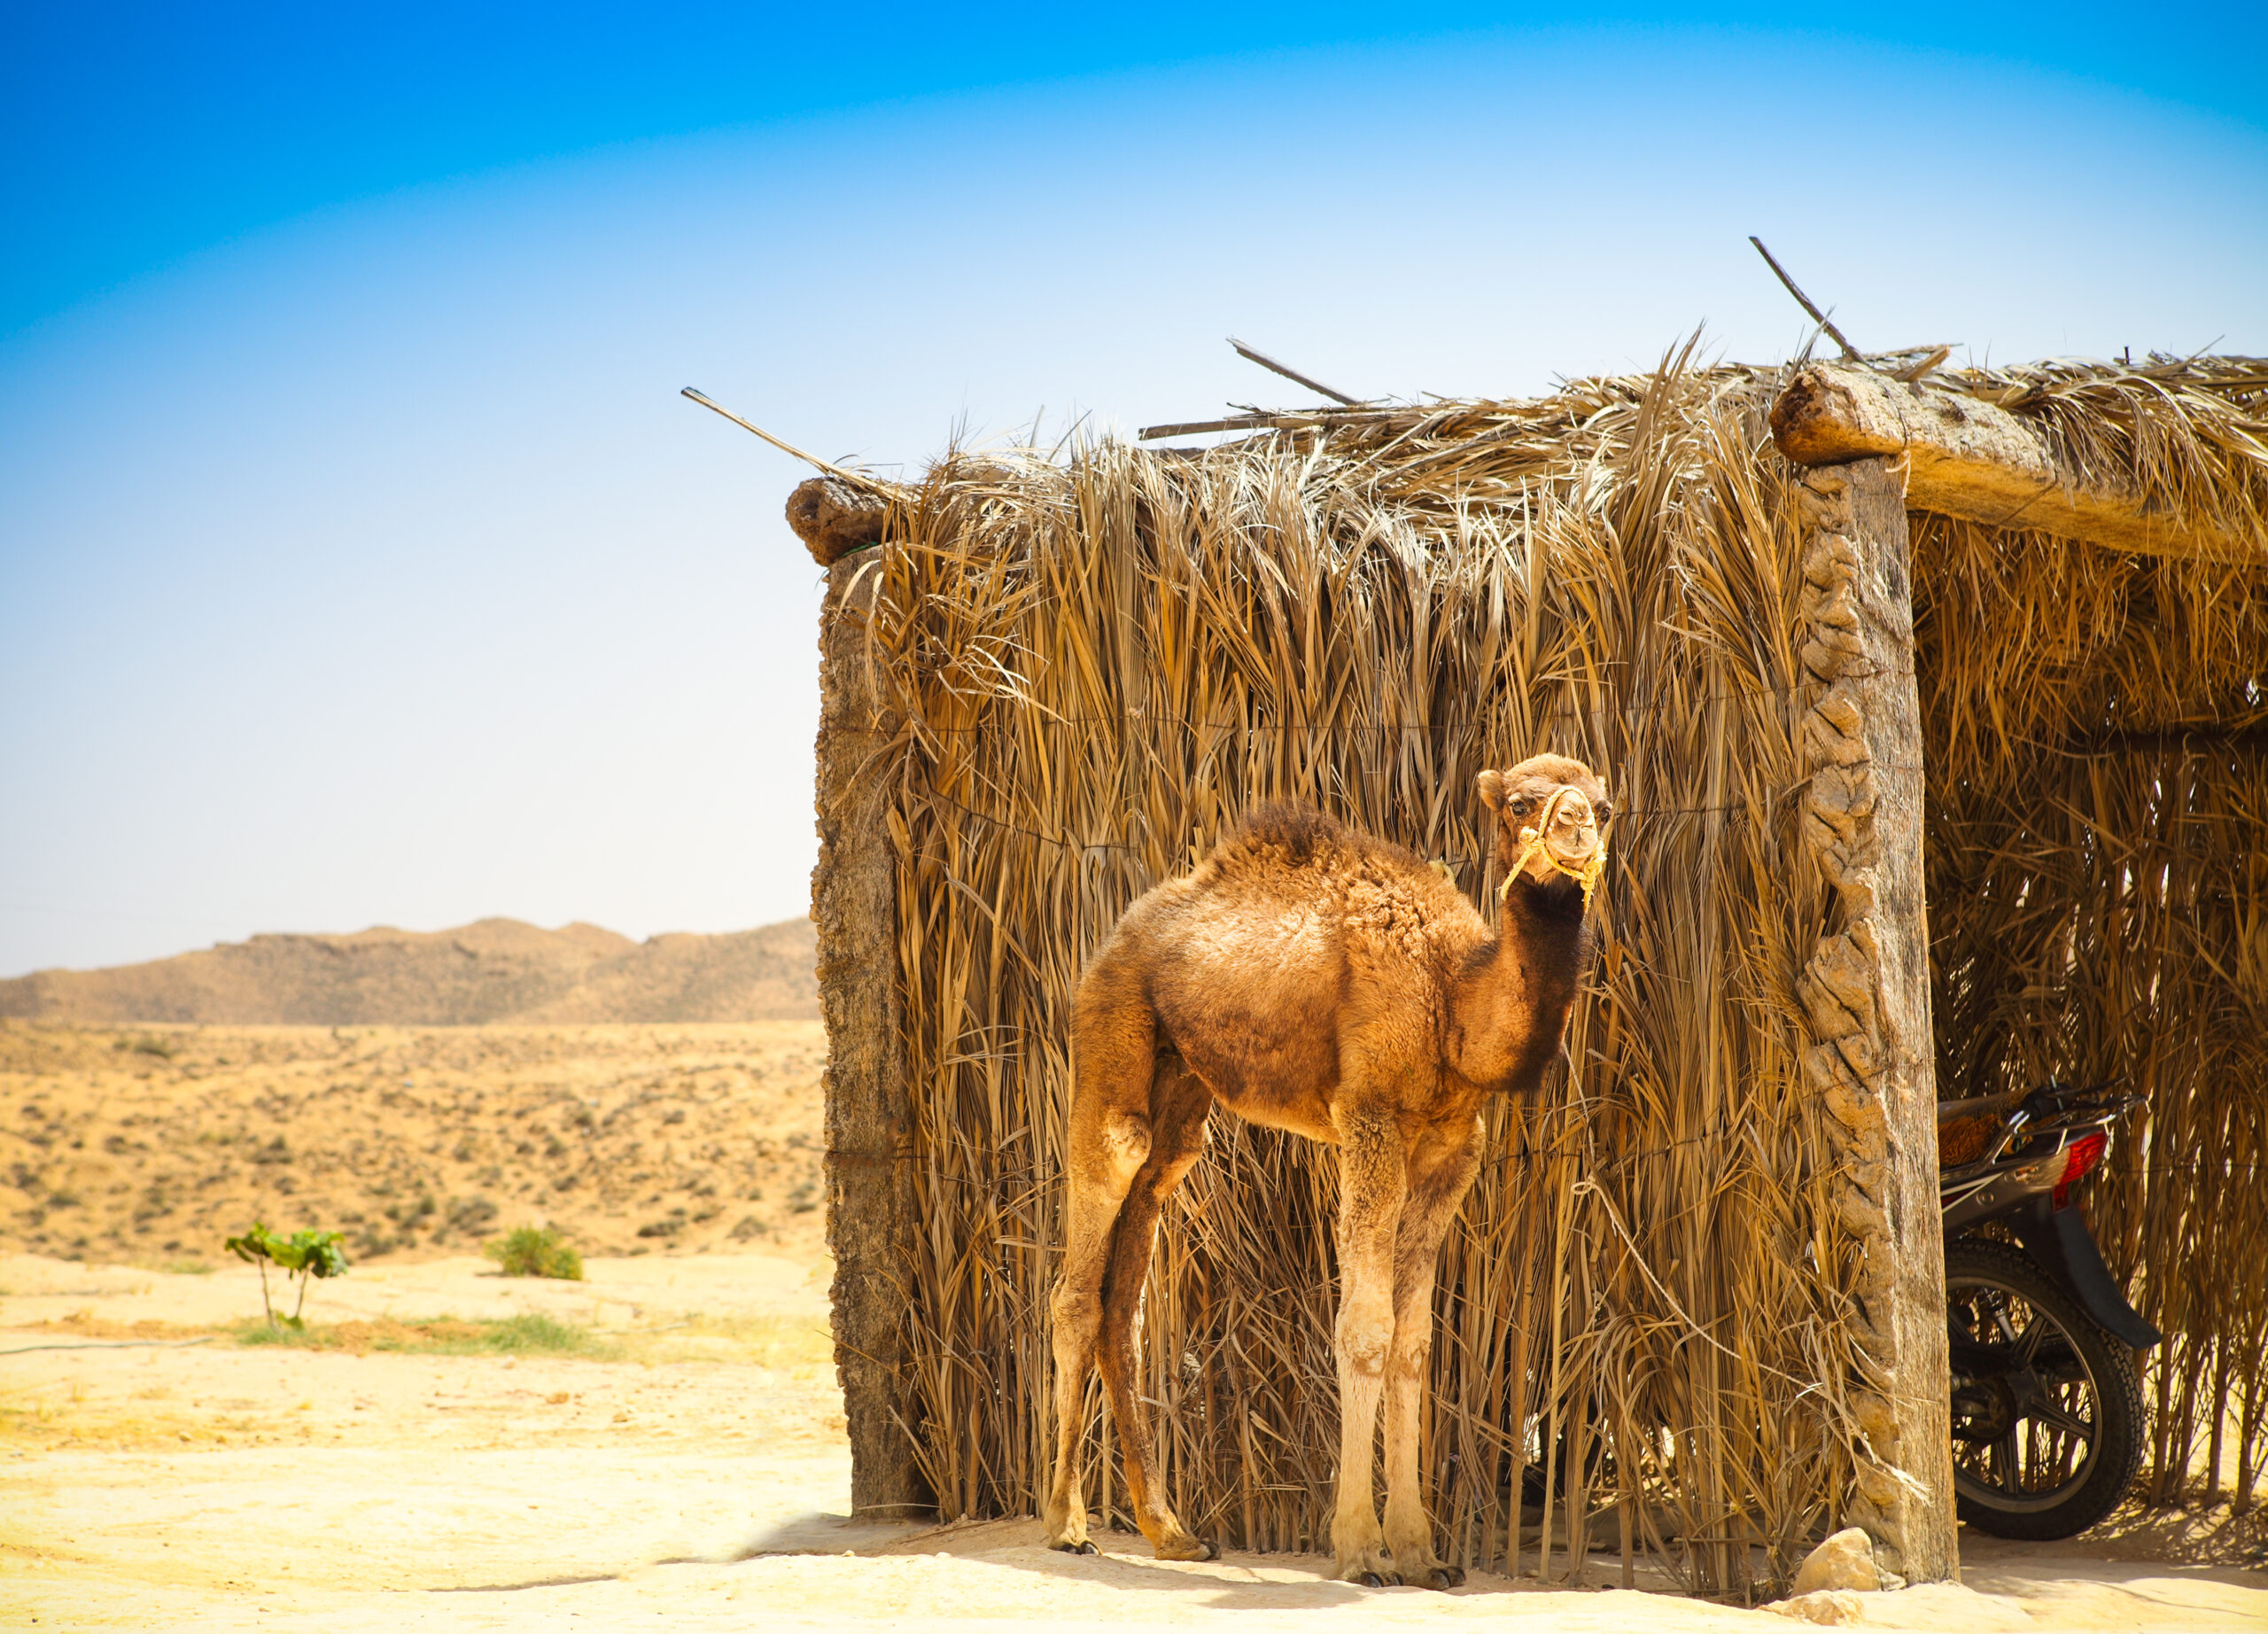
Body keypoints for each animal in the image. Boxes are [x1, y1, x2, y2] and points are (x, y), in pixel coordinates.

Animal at [1041, 752, 1612, 1588]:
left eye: (1605, 805)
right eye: (1518, 802)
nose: (1575, 830)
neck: (1452, 997)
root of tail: (1113, 937)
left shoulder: (1452, 1147)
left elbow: (1414, 1343)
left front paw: (1423, 1553)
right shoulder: (1369, 1118)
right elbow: (1365, 1330)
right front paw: (1362, 1549)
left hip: (1181, 1095)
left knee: (1129, 1287)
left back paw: (1171, 1531)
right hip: (1110, 1027)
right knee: (1084, 1268)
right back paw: (1068, 1524)